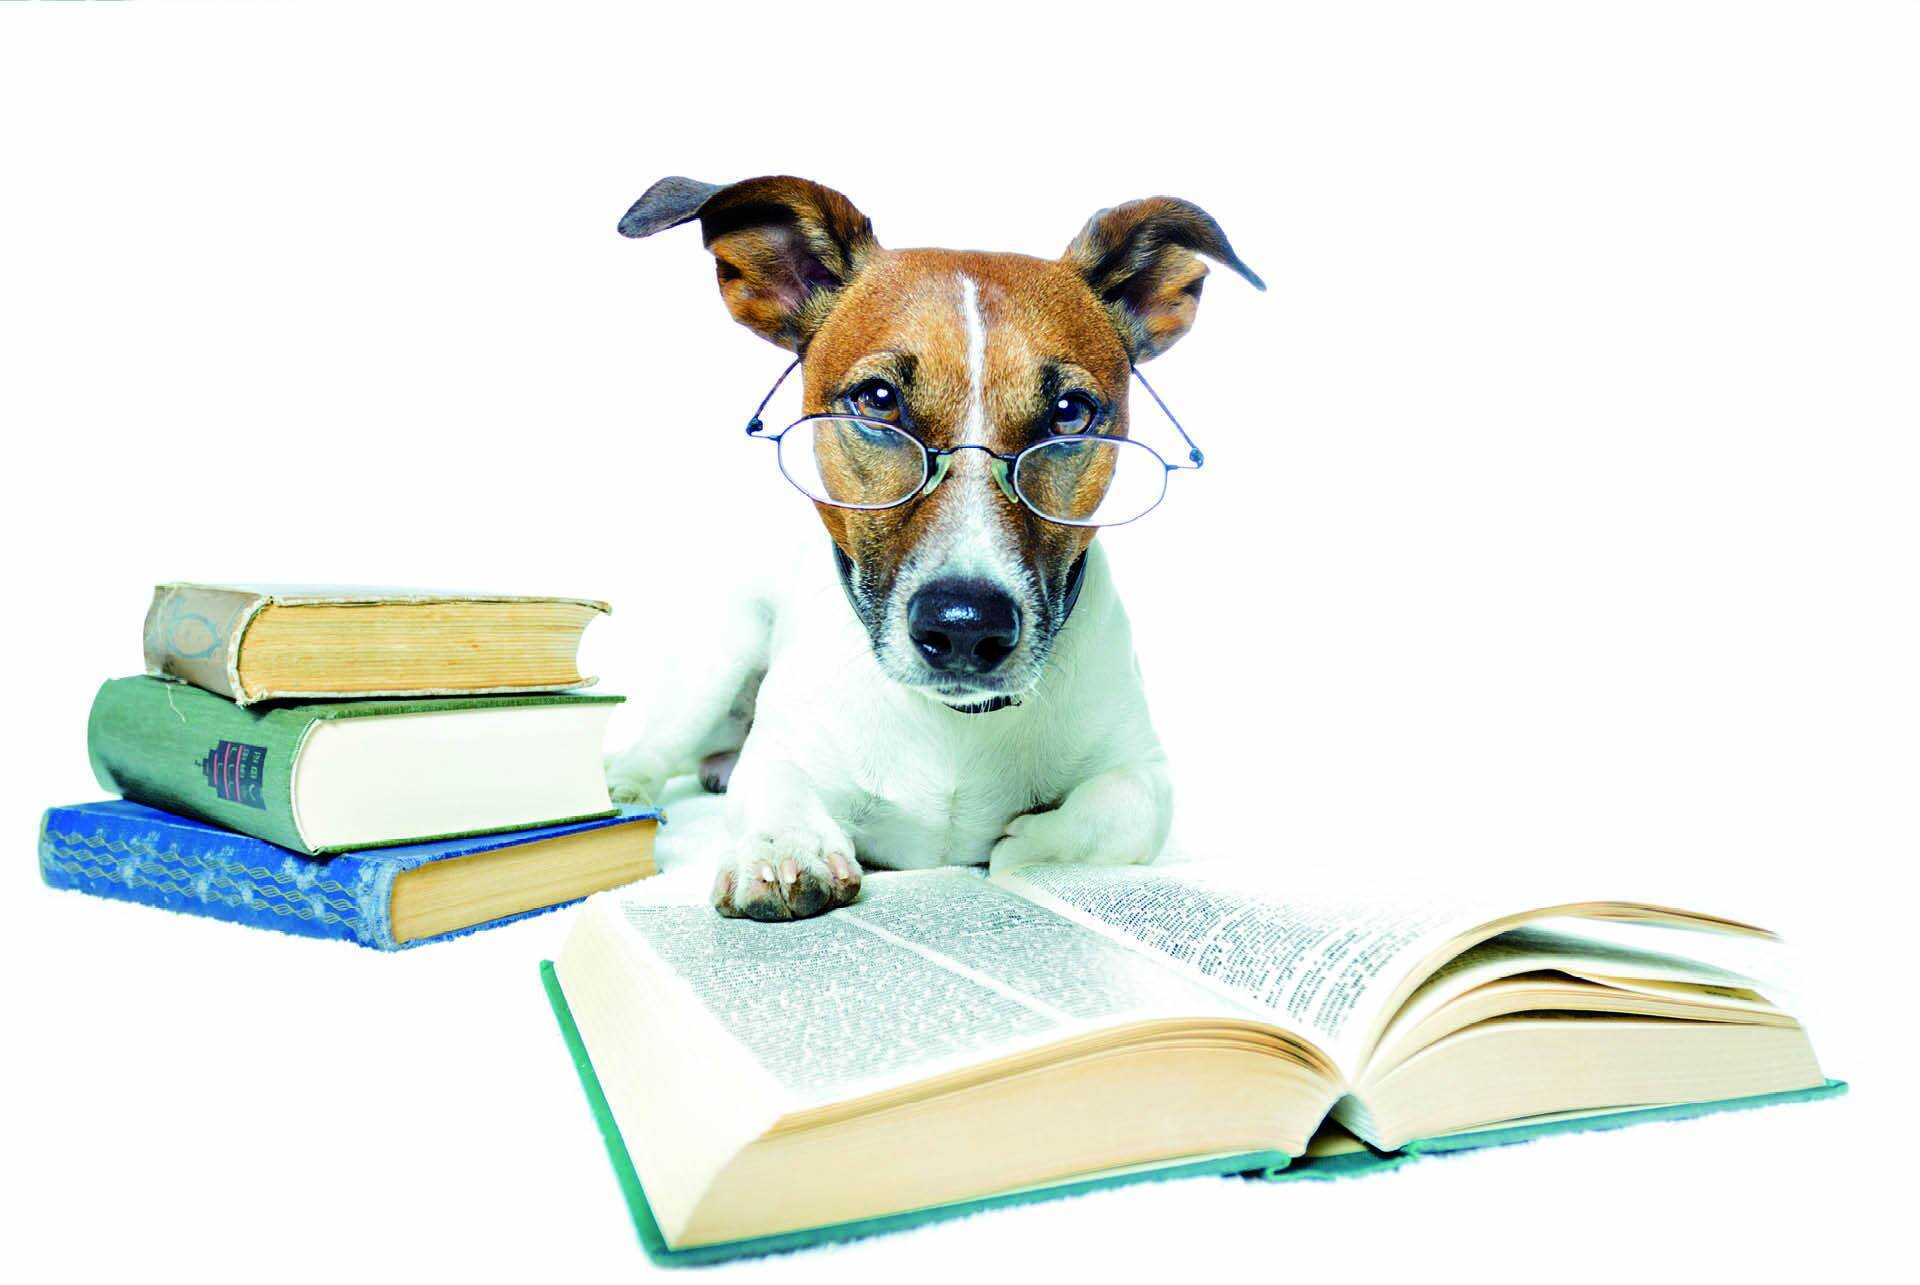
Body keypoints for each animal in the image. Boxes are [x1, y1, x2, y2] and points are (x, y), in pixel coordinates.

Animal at [604, 175, 1261, 920]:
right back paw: (629, 784)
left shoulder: (1144, 770)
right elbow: (773, 784)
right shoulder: (780, 750)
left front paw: (1020, 846)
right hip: (721, 655)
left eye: (1070, 414)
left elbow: (1107, 813)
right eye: (878, 399)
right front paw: (783, 849)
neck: (956, 720)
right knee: (658, 743)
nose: (965, 627)